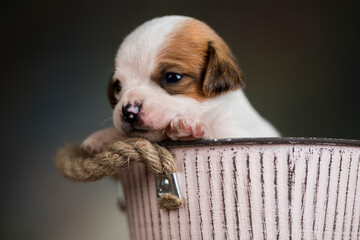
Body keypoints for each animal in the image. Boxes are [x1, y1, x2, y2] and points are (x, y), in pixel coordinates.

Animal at [81, 15, 278, 153]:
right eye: (118, 87)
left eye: (172, 77)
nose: (129, 112)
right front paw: (104, 136)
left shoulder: (235, 133)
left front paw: (188, 131)